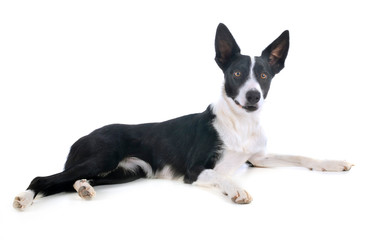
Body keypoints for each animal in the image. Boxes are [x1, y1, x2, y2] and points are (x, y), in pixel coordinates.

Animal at [12, 23, 356, 209]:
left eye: (264, 75)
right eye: (236, 73)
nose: (253, 96)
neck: (240, 124)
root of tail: (81, 137)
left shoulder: (258, 158)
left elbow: (300, 156)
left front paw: (332, 163)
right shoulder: (195, 170)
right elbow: (222, 175)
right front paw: (238, 189)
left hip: (125, 172)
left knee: (67, 182)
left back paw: (83, 187)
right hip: (103, 157)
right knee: (44, 179)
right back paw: (26, 198)